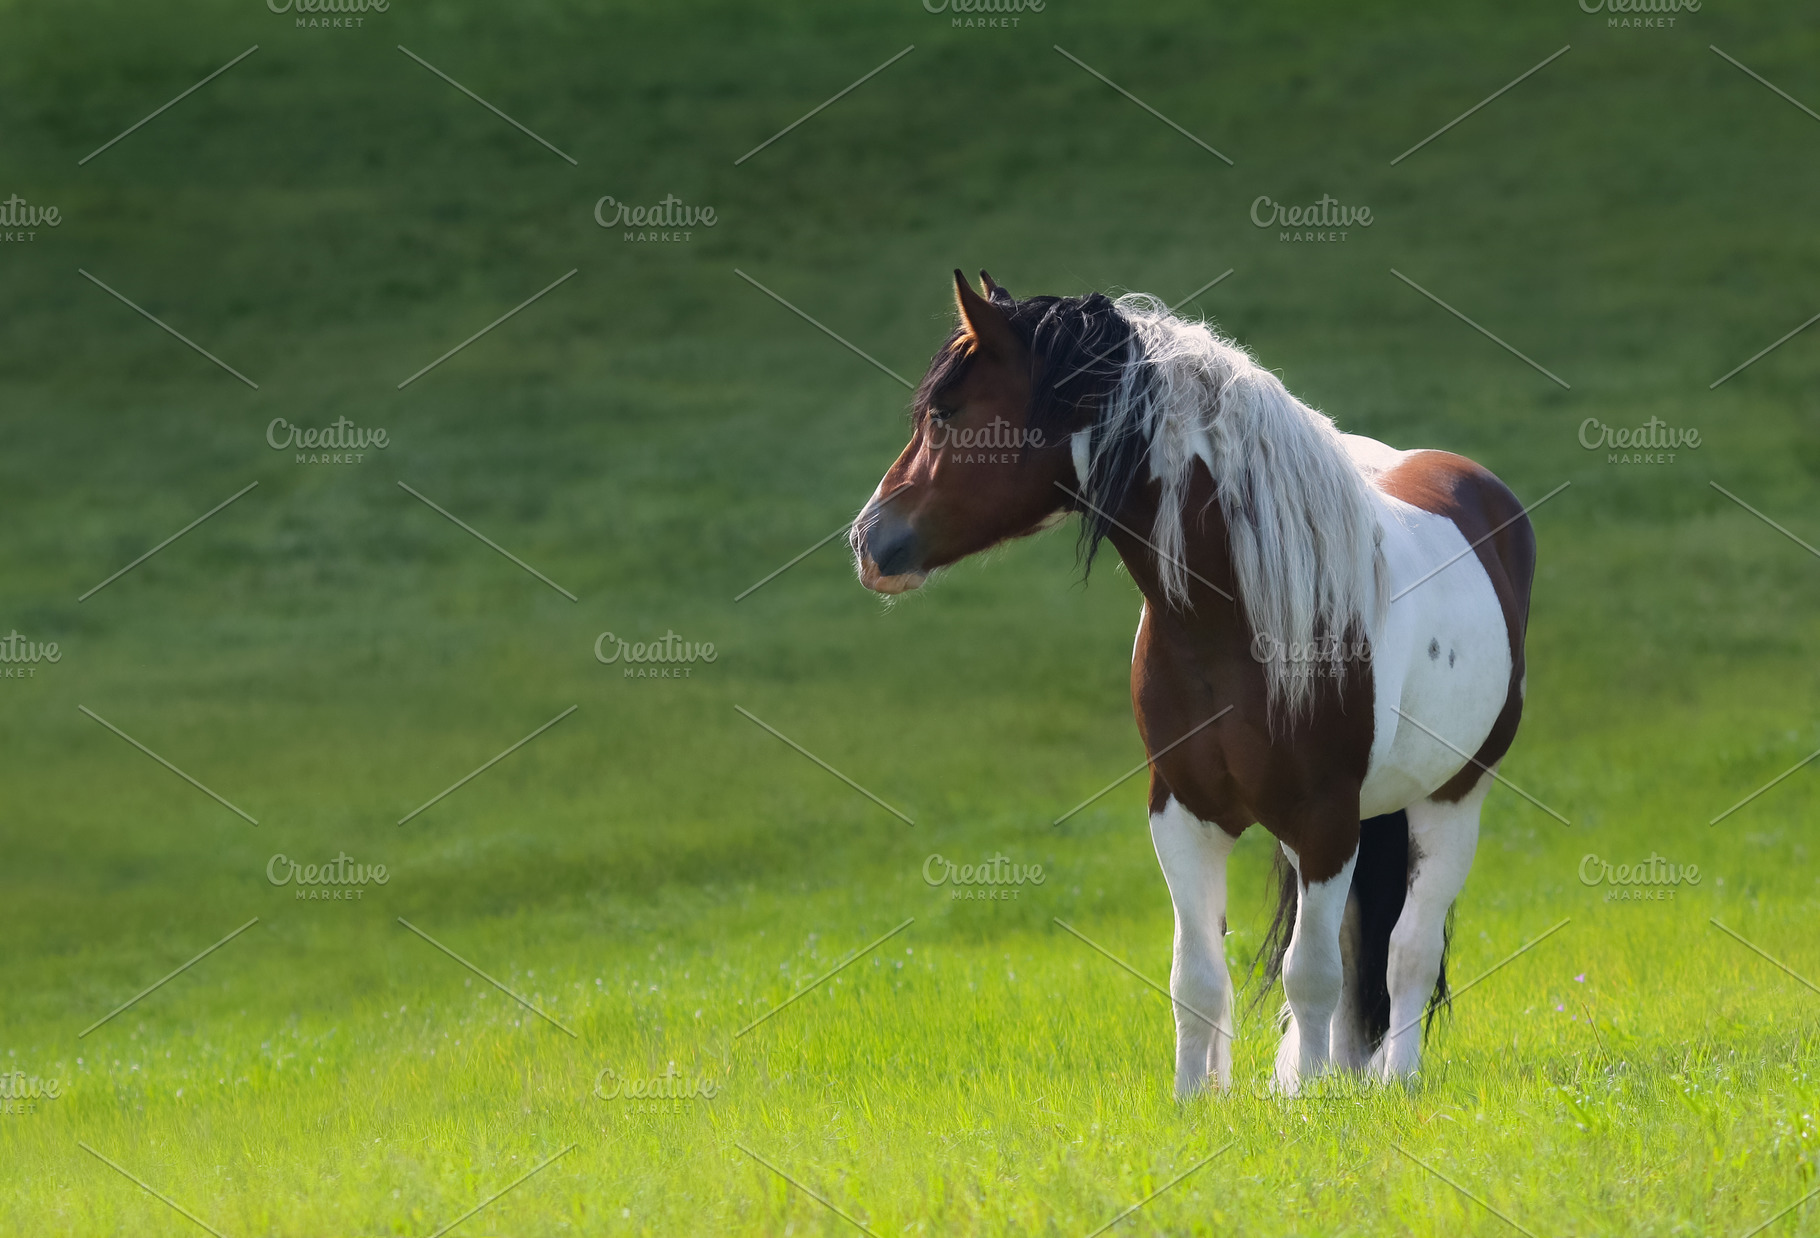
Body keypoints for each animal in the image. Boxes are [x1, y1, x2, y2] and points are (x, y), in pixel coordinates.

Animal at [852, 271, 1535, 1096]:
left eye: (946, 414)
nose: (867, 540)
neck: (1232, 620)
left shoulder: (1324, 821)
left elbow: (1311, 973)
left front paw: (1299, 1105)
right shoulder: (1183, 812)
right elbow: (1198, 977)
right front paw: (1197, 1101)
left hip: (1451, 801)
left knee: (1407, 950)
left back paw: (1392, 1081)